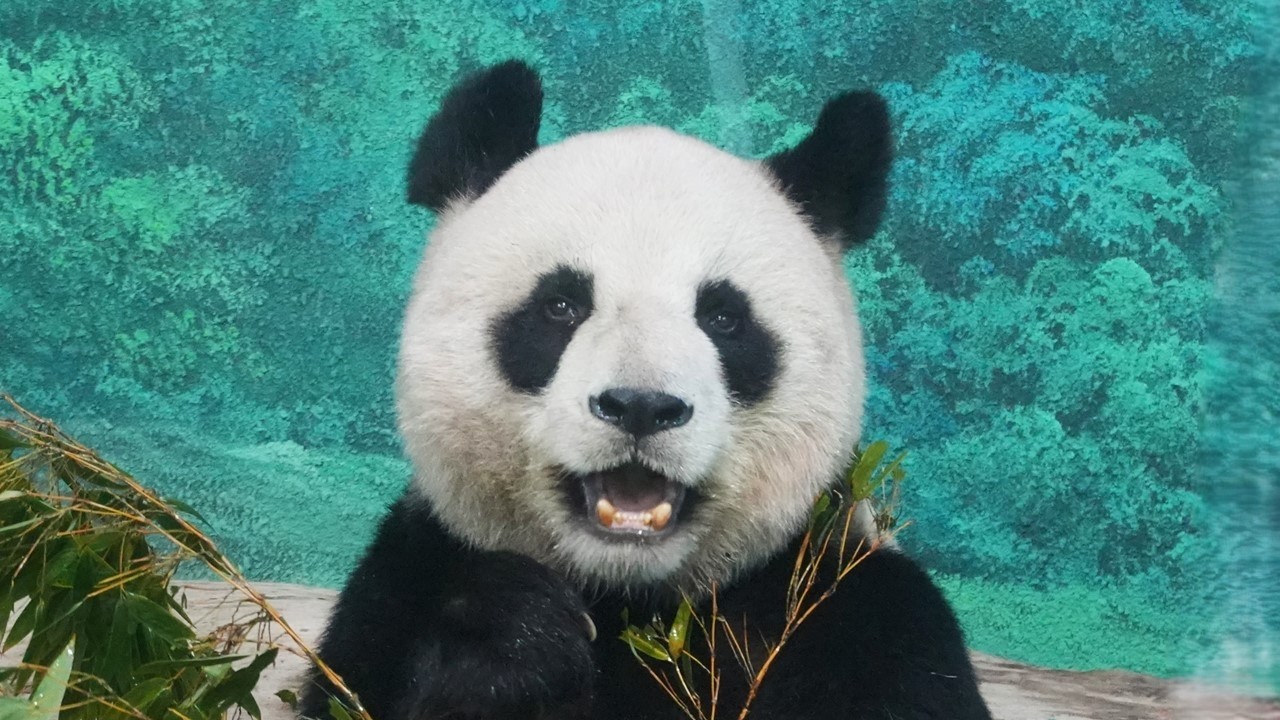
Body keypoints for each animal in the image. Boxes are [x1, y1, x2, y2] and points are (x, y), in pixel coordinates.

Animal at [299, 61, 992, 720]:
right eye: (560, 305)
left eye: (723, 317)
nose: (640, 406)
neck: (627, 596)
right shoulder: (405, 579)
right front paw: (512, 638)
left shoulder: (850, 607)